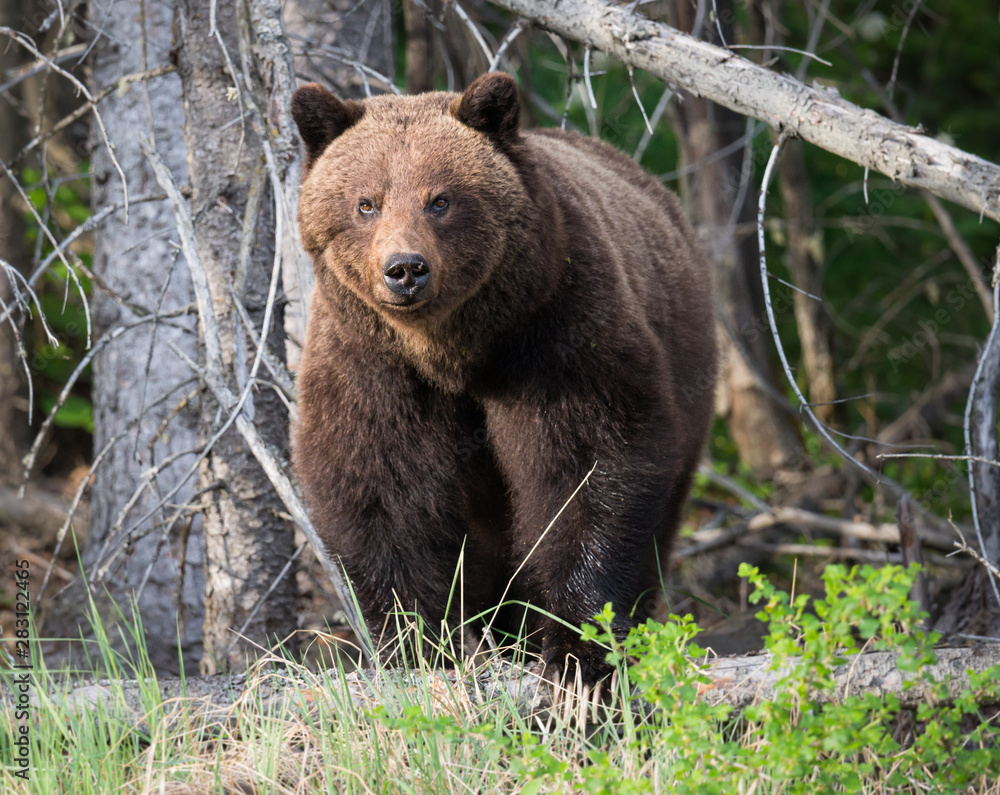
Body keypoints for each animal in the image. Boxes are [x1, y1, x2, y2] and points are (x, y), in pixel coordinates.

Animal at [290, 73, 720, 676]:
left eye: (440, 199)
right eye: (365, 203)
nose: (405, 269)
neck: (450, 351)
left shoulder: (552, 332)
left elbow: (588, 466)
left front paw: (578, 649)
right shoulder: (371, 364)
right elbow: (376, 485)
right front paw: (414, 642)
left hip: (687, 369)